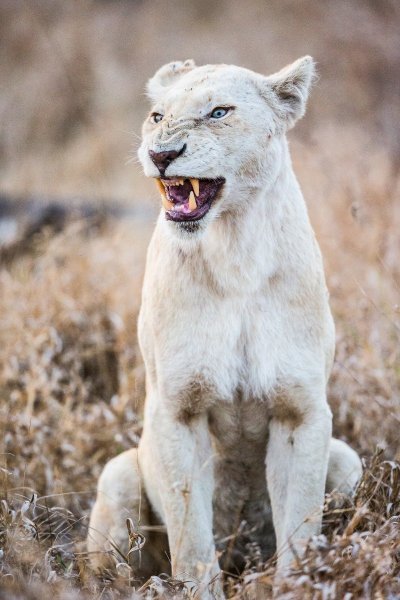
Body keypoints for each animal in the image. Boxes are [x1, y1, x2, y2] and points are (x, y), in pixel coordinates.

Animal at [88, 57, 362, 600]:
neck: (235, 253)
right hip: (118, 472)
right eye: (157, 116)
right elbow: (191, 531)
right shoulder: (176, 409)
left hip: (347, 461)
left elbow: (300, 522)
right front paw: (198, 590)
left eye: (218, 112)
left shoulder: (302, 411)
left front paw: (297, 585)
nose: (161, 154)